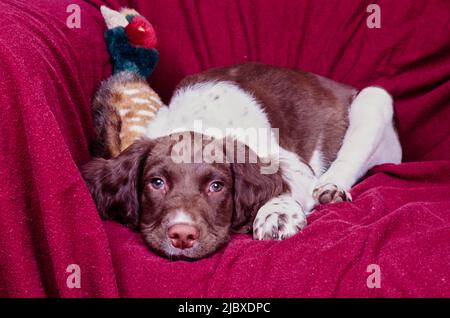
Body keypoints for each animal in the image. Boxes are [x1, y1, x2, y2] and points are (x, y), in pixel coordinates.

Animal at [82, 62, 402, 260]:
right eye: (156, 183)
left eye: (216, 186)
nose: (182, 235)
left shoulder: (288, 160)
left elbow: (283, 182)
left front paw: (277, 214)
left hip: (374, 100)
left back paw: (332, 187)